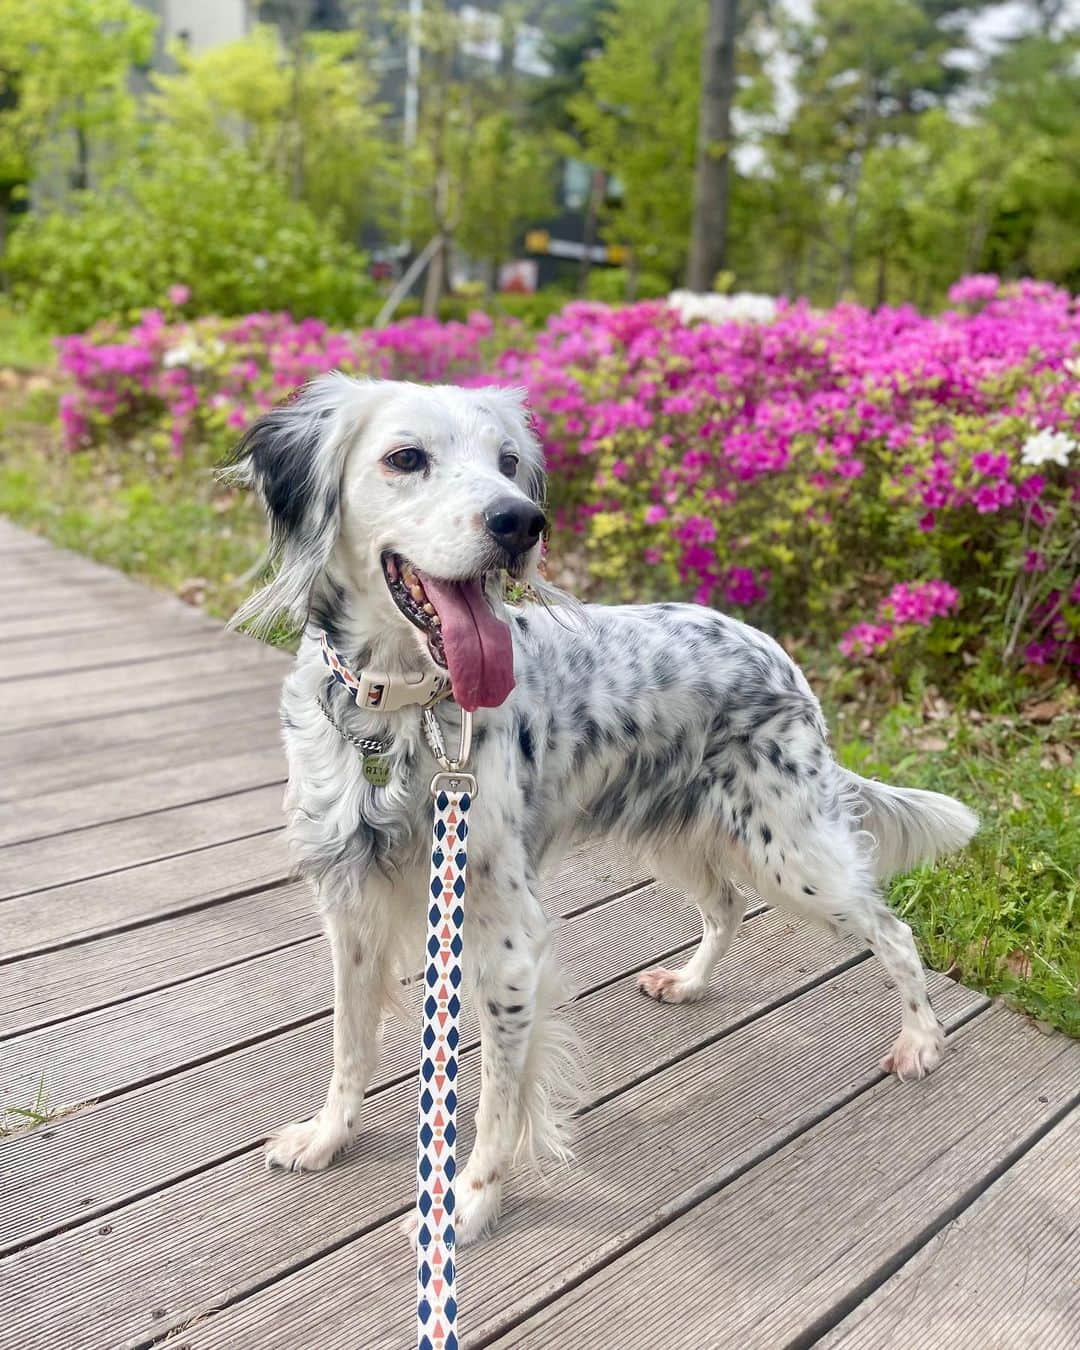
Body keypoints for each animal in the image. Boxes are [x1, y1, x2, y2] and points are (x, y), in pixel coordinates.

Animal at [232, 372, 982, 1242]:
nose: (521, 523)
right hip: (682, 835)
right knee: (726, 907)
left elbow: (494, 1100)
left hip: (791, 851)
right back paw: (689, 984)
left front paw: (470, 1201)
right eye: (405, 457)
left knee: (892, 931)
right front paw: (328, 1138)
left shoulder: (508, 943)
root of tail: (781, 656)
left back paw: (921, 1040)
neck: (405, 712)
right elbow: (348, 1048)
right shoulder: (350, 911)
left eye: (509, 462)